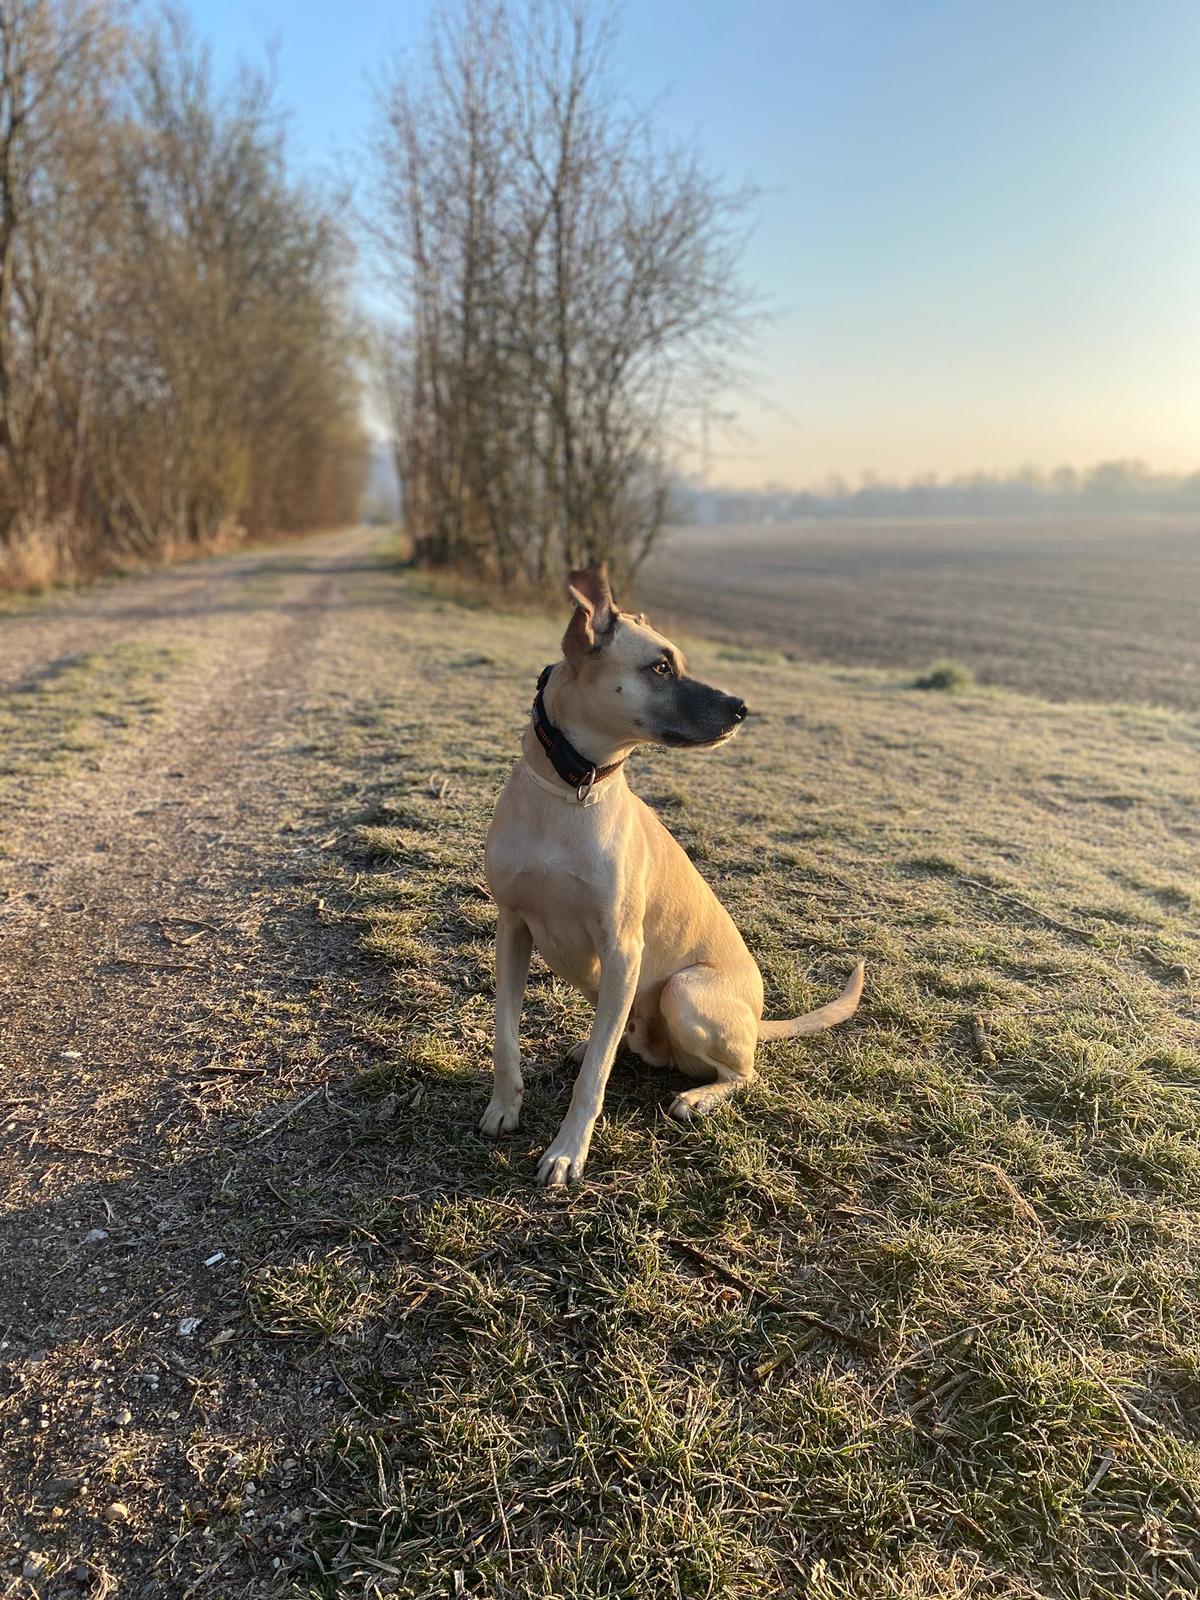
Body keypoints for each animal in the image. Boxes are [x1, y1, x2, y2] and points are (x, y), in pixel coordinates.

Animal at [480, 569, 864, 1184]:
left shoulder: (623, 951)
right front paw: (503, 1107)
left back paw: (698, 1097)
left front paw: (567, 1151)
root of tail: (758, 1020)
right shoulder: (513, 929)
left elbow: (592, 1082)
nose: (742, 707)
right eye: (660, 667)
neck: (569, 791)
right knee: (621, 1040)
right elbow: (506, 1038)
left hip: (683, 992)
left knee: (741, 1071)